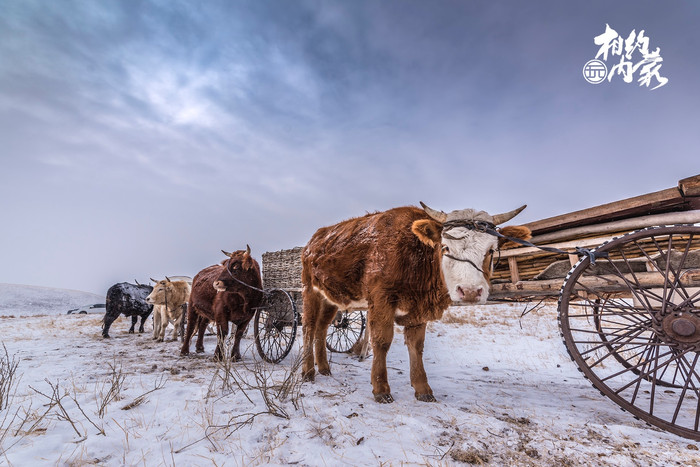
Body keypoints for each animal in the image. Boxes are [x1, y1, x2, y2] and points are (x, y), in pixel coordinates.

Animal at [302, 203, 532, 404]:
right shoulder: (381, 299)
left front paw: (423, 389)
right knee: (309, 328)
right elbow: (382, 341)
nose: (469, 291)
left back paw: (324, 368)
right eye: (445, 247)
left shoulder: (419, 310)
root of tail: (315, 239)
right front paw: (381, 388)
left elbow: (416, 346)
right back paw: (308, 371)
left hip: (330, 298)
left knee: (322, 329)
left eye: (491, 251)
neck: (416, 257)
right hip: (309, 291)